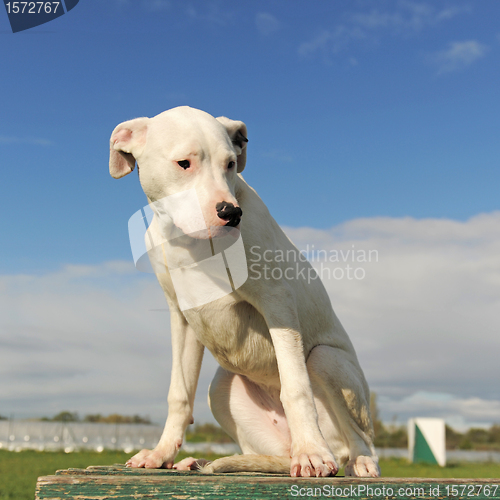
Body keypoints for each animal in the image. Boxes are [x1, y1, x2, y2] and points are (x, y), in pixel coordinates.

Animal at [109, 106, 378, 476]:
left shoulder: (277, 301)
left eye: (231, 164)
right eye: (184, 163)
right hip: (222, 388)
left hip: (326, 360)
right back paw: (206, 462)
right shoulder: (182, 316)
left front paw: (311, 452)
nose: (231, 213)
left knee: (359, 441)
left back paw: (349, 459)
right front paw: (162, 453)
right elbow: (179, 393)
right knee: (261, 452)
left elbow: (296, 387)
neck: (190, 243)